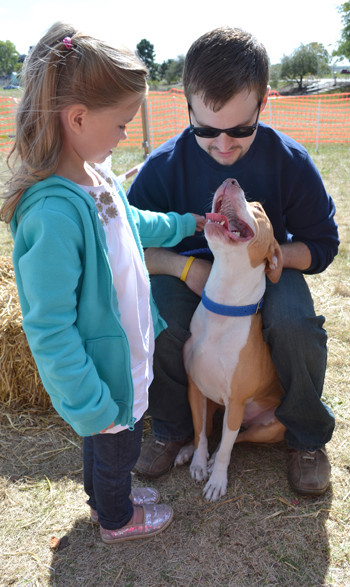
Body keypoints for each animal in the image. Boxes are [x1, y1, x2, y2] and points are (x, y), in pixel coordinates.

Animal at [176, 178, 286, 500]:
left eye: (259, 208)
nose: (230, 180)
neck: (224, 307)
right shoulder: (195, 389)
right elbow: (200, 432)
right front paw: (198, 461)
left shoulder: (236, 402)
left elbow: (225, 447)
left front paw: (216, 480)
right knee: (212, 431)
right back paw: (186, 451)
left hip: (269, 426)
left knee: (238, 438)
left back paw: (214, 461)